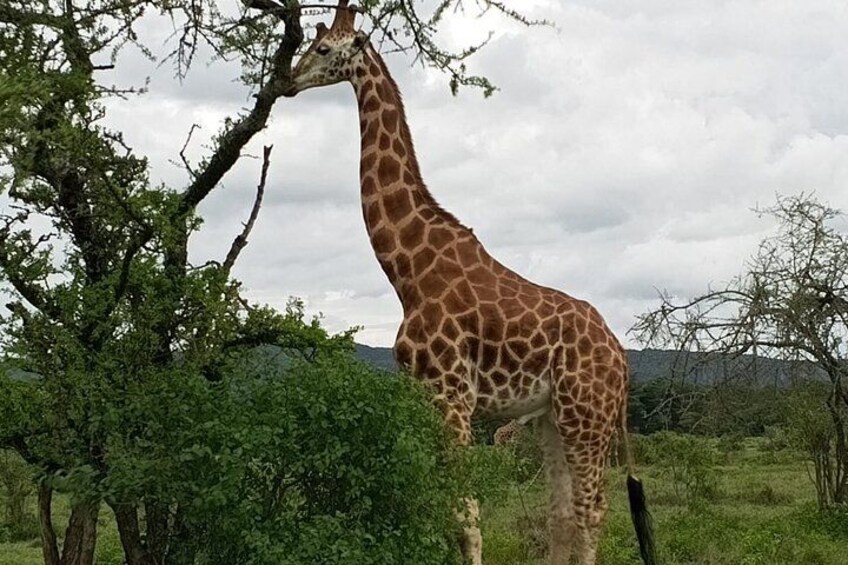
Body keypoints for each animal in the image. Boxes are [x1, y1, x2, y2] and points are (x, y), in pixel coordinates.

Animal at [283, 3, 656, 564]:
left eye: (324, 48)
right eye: (311, 41)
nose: (288, 80)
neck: (409, 273)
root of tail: (622, 360)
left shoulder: (452, 397)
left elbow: (465, 515)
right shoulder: (424, 396)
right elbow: (444, 509)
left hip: (585, 416)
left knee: (592, 511)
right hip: (551, 417)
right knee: (562, 513)